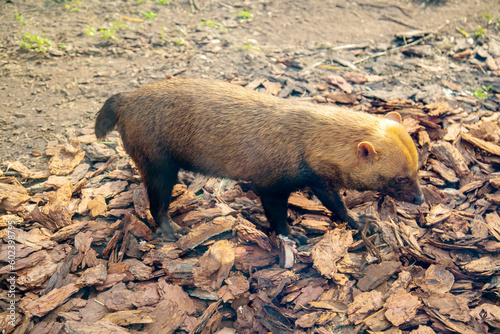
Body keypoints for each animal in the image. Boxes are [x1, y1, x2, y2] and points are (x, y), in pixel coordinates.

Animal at [95, 78, 424, 240]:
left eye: (418, 170)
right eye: (399, 178)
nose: (421, 200)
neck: (306, 138)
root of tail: (127, 98)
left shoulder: (320, 182)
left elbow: (337, 205)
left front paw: (360, 222)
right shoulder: (269, 186)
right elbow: (277, 217)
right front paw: (293, 235)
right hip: (160, 167)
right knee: (156, 204)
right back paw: (170, 231)